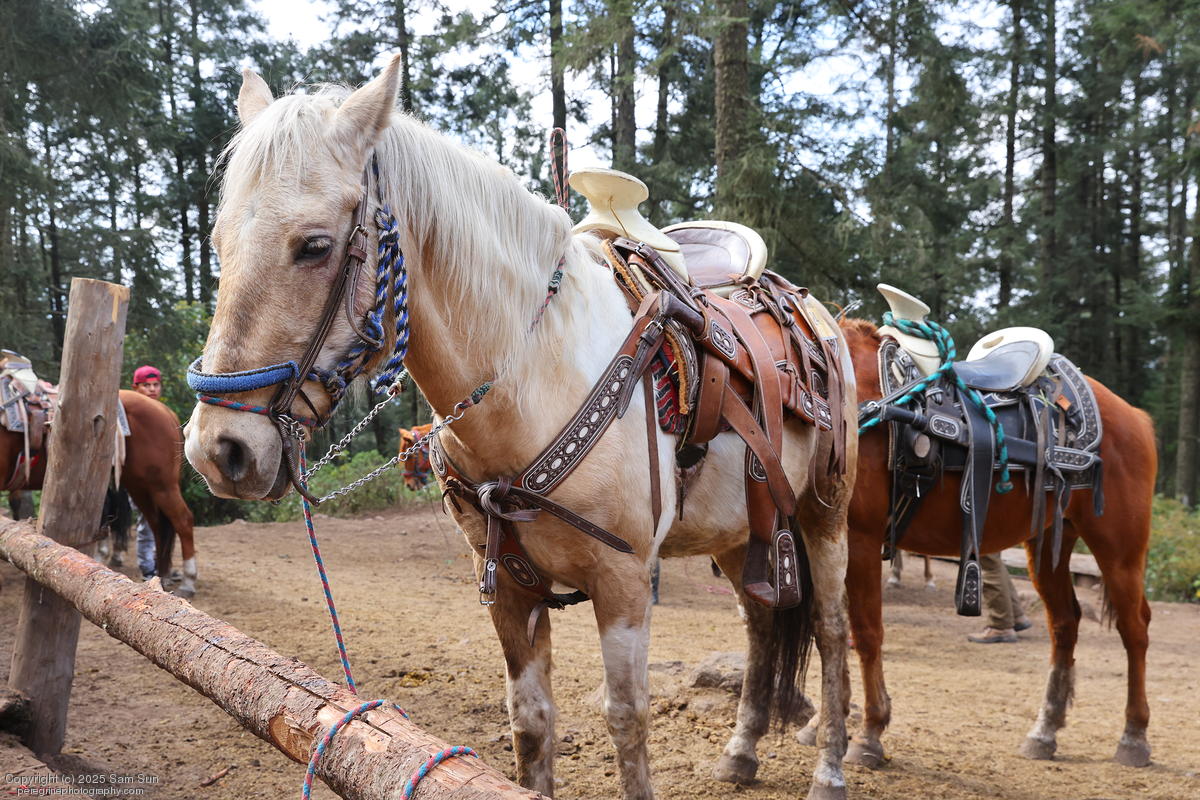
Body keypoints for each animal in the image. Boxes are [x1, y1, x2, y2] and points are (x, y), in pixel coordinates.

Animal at [1, 388, 198, 597]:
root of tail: (165, 410)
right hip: (140, 486)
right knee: (157, 526)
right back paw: (160, 577)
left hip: (162, 485)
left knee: (183, 520)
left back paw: (188, 581)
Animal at [182, 58, 859, 800]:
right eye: (218, 242)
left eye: (314, 246)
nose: (217, 450)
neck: (532, 379)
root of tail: (815, 313)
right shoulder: (507, 589)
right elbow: (530, 721)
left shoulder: (623, 583)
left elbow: (628, 721)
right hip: (739, 532)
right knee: (762, 623)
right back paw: (740, 752)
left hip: (824, 516)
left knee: (831, 630)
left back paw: (831, 768)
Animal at [814, 318, 1155, 770]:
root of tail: (1134, 416)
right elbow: (828, 631)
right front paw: (823, 724)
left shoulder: (861, 539)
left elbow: (865, 632)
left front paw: (869, 733)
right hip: (1048, 543)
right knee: (1065, 624)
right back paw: (1044, 732)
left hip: (1119, 548)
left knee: (1134, 628)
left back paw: (1133, 736)